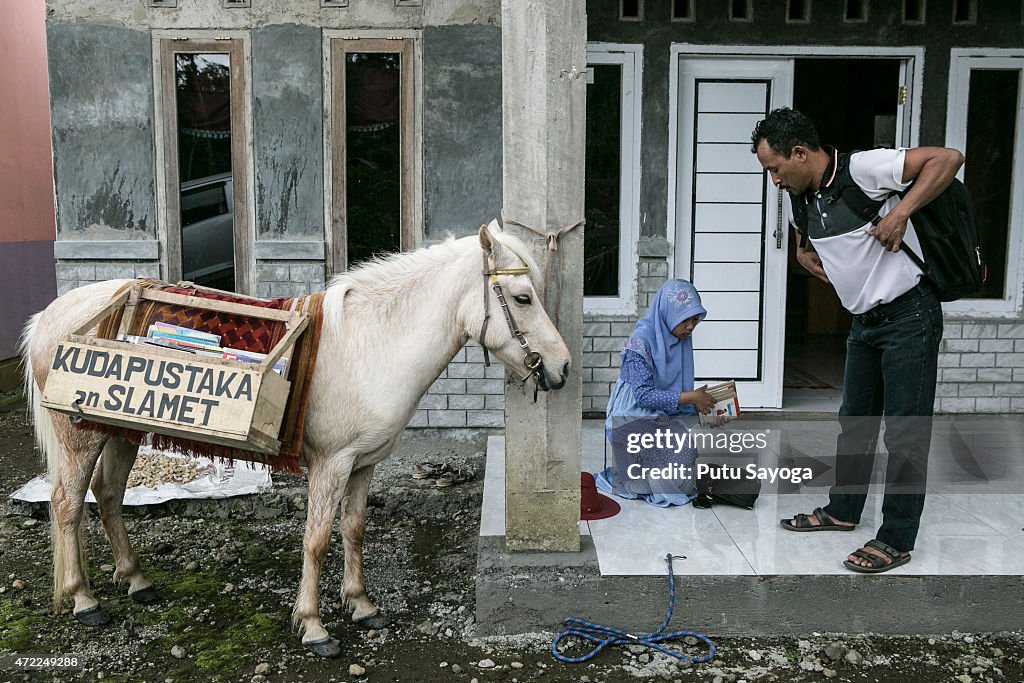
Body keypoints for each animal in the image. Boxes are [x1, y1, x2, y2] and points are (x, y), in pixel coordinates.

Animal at [22, 222, 569, 659]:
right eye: (523, 297)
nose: (561, 369)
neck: (375, 344)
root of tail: (51, 314)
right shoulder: (331, 464)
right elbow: (317, 539)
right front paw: (313, 626)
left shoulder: (363, 464)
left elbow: (353, 530)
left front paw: (362, 605)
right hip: (80, 436)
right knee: (67, 503)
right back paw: (84, 600)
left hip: (119, 433)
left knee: (109, 494)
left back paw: (136, 580)